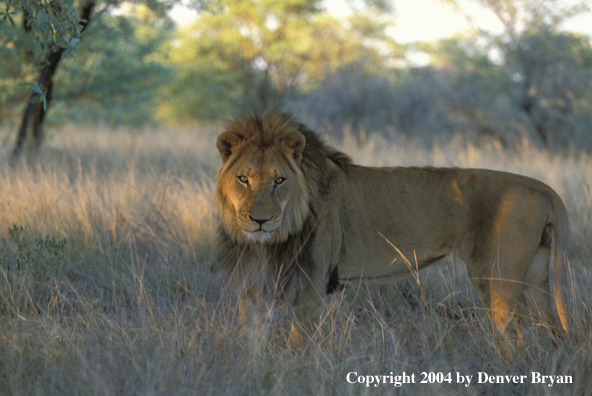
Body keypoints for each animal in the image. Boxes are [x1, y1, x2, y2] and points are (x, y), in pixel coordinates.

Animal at [215, 110, 572, 344]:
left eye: (279, 180)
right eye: (243, 179)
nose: (260, 221)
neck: (273, 240)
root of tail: (541, 187)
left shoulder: (311, 288)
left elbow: (296, 348)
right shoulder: (253, 286)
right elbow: (250, 346)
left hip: (497, 279)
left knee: (517, 338)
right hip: (535, 279)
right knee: (549, 332)